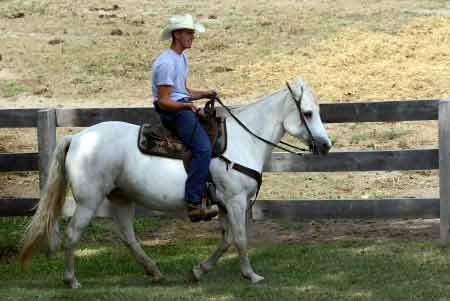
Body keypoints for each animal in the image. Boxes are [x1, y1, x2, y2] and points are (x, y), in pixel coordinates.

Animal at [19, 77, 332, 286]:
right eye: (307, 113)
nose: (326, 145)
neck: (244, 140)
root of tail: (78, 137)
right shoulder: (235, 201)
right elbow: (241, 239)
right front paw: (251, 275)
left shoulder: (225, 204)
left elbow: (228, 239)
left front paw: (198, 270)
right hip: (88, 200)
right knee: (73, 234)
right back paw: (71, 280)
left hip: (121, 197)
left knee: (128, 236)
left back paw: (154, 271)